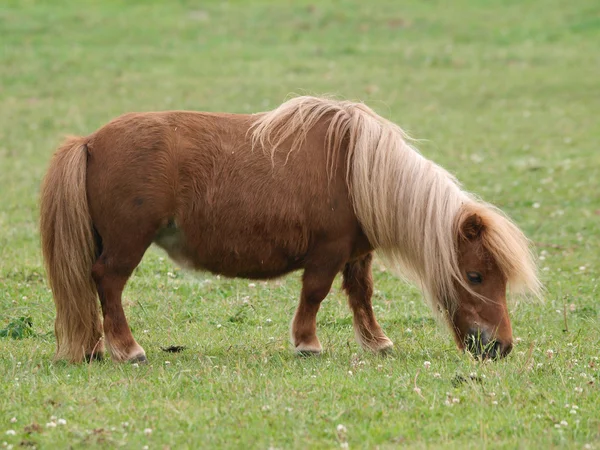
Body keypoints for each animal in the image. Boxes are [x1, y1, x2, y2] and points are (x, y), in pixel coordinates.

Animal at [39, 96, 540, 364]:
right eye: (475, 276)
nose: (501, 347)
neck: (356, 171)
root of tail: (89, 143)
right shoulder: (327, 252)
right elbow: (315, 294)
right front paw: (307, 344)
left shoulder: (357, 254)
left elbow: (361, 296)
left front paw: (377, 343)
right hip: (126, 246)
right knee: (108, 284)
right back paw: (128, 349)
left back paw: (96, 348)